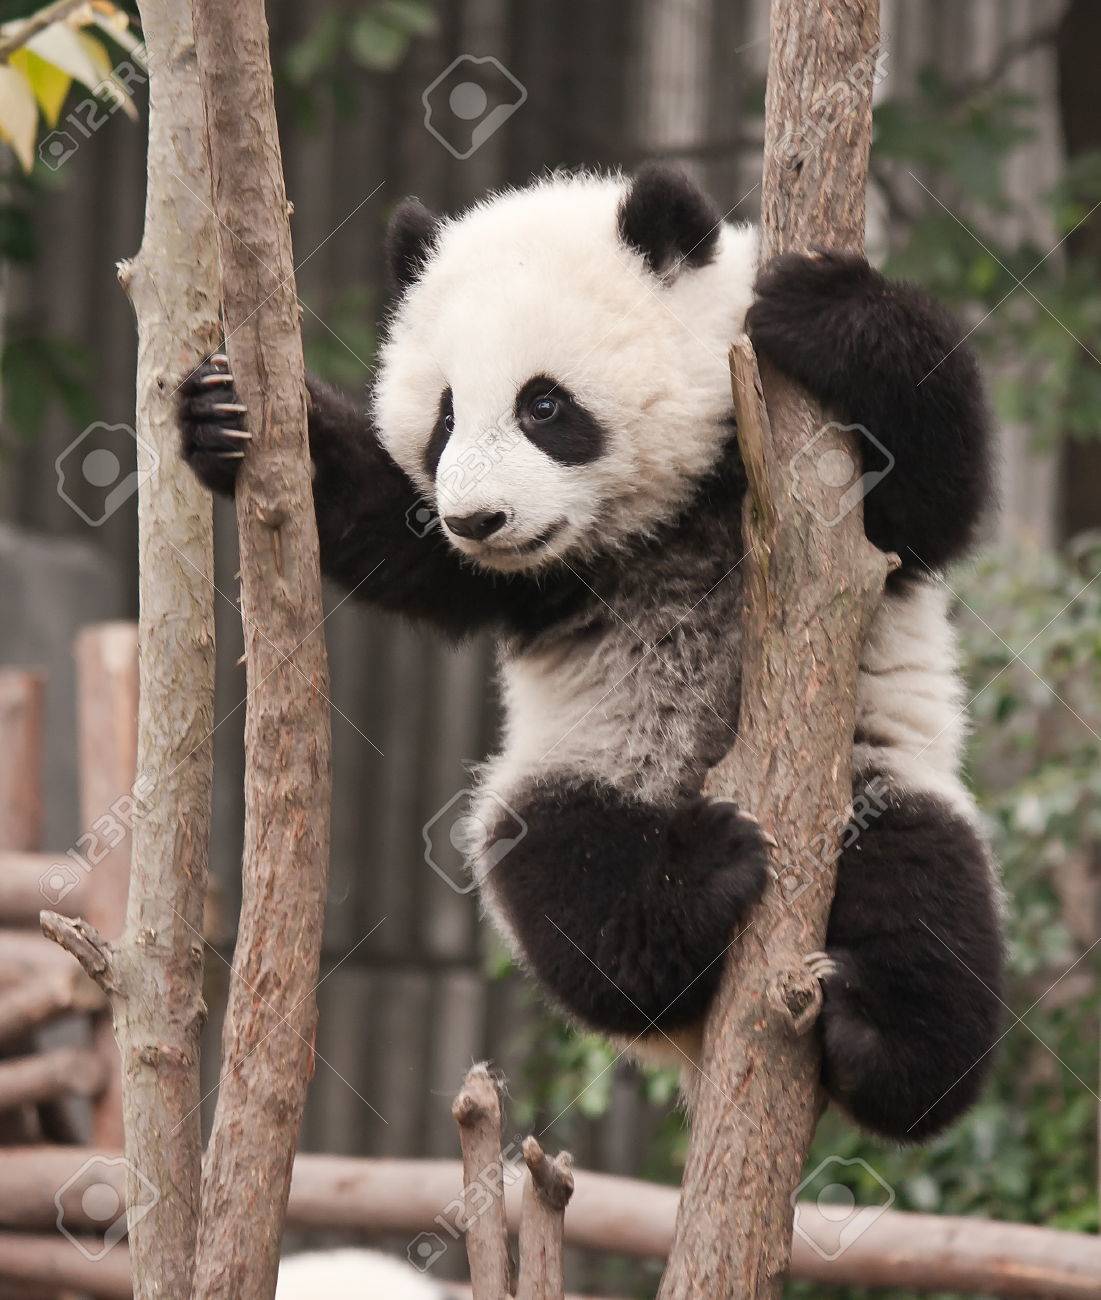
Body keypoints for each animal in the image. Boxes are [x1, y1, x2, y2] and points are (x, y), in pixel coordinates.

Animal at [181, 164, 1004, 1142]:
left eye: (544, 405)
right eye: (445, 418)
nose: (478, 519)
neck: (661, 515)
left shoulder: (813, 489)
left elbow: (935, 488)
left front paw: (826, 308)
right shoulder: (526, 578)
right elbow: (398, 537)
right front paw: (222, 418)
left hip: (876, 785)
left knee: (926, 909)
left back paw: (878, 1046)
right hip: (579, 776)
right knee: (568, 887)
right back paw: (695, 884)